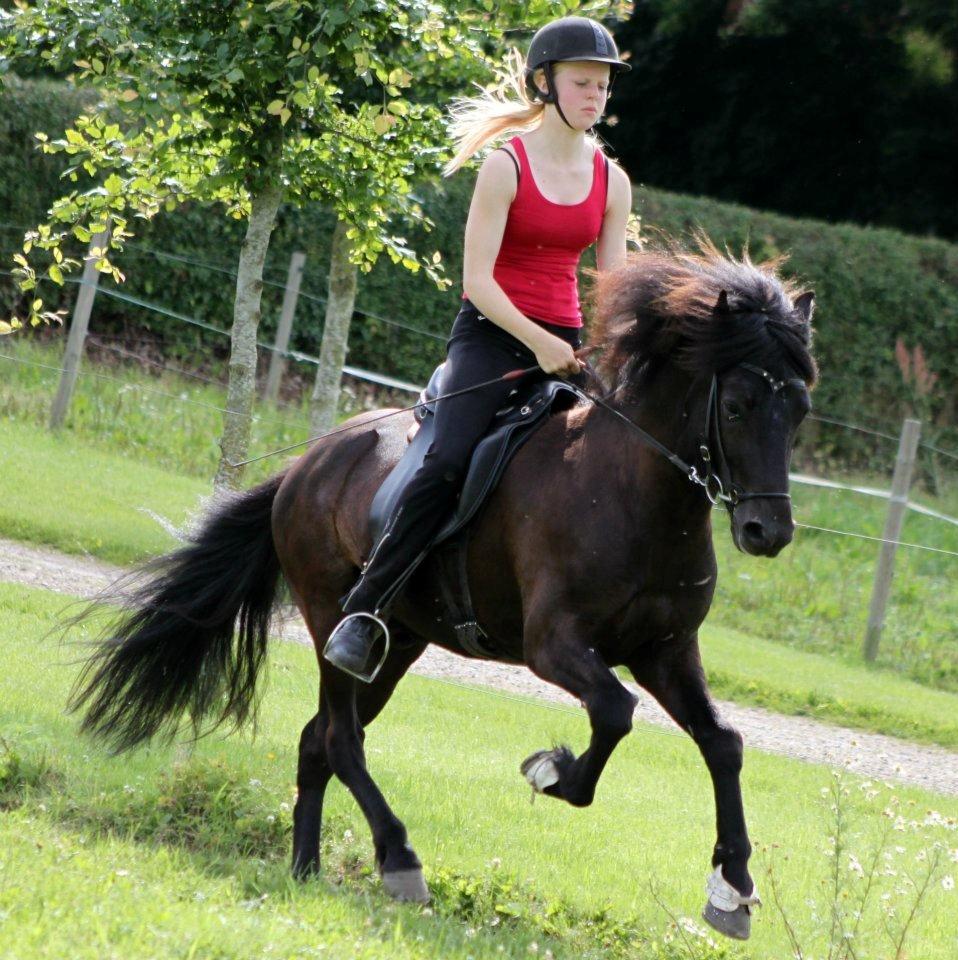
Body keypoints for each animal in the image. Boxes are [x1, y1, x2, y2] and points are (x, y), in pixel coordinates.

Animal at [71, 238, 816, 936]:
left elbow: (724, 742)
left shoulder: (666, 651)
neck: (634, 492)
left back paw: (305, 870)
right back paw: (398, 859)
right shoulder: (555, 646)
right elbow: (615, 711)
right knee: (340, 738)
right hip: (331, 620)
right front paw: (551, 770)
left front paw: (733, 889)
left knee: (317, 741)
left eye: (801, 412)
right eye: (740, 405)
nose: (768, 530)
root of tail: (305, 465)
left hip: (396, 644)